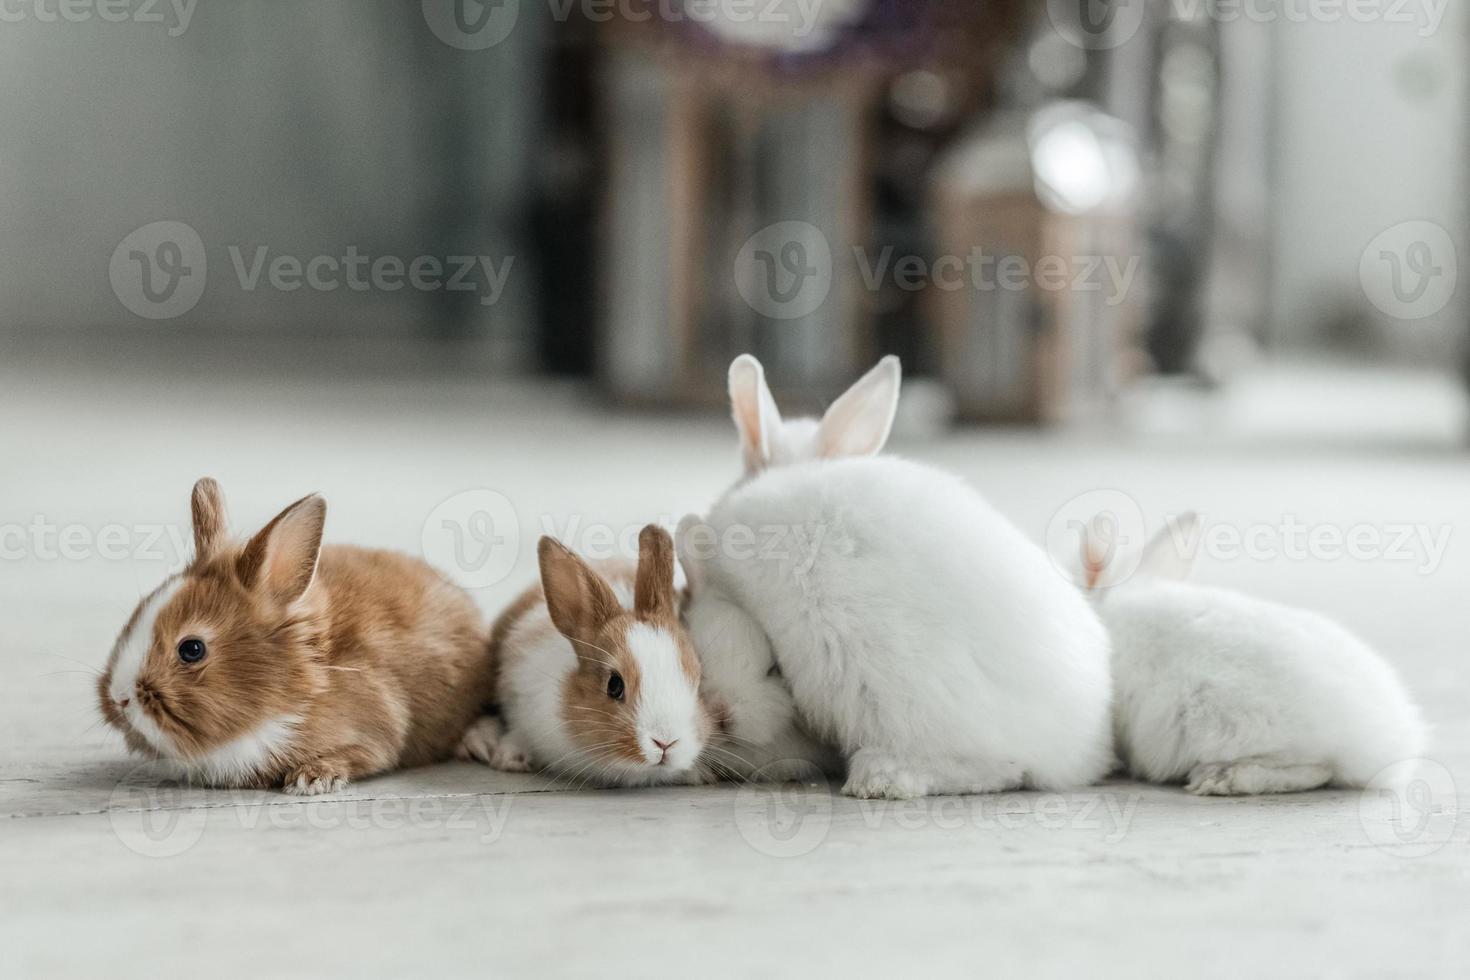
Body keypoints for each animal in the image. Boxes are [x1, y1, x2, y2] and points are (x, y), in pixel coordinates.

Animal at [676, 455, 1111, 799]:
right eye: (698, 657)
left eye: (774, 668)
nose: (721, 714)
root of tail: (1088, 738)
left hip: (897, 694)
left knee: (1000, 765)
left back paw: (880, 779)